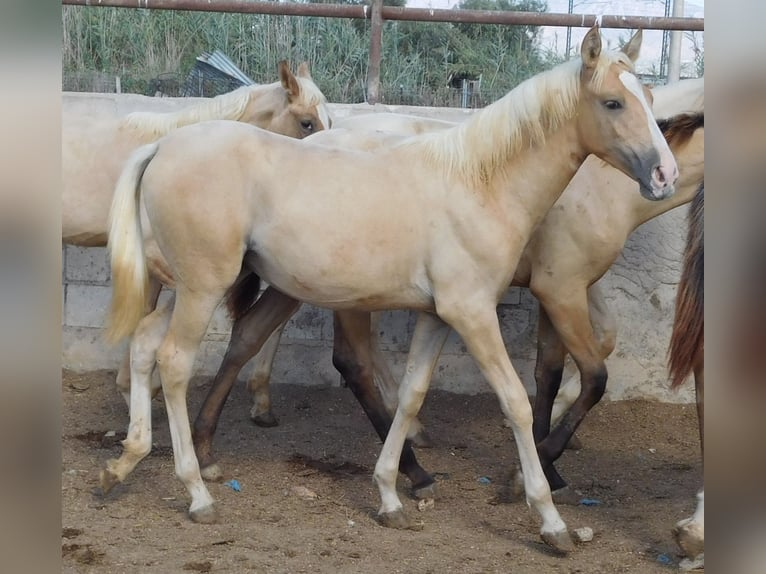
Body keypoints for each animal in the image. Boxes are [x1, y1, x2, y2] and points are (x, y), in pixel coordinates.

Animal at [102, 27, 680, 552]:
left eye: (650, 99)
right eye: (612, 102)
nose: (665, 174)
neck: (478, 184)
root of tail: (162, 144)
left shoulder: (438, 316)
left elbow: (410, 395)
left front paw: (390, 494)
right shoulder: (473, 313)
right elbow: (515, 402)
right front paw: (548, 516)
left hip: (188, 288)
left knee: (147, 344)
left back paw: (126, 460)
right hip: (202, 290)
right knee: (175, 362)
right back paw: (196, 492)